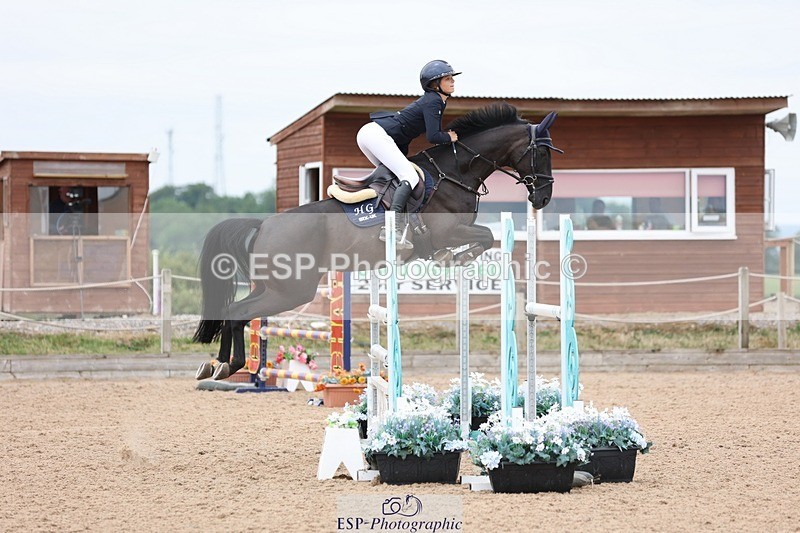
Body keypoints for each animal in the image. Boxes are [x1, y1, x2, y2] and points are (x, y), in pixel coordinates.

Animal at [193, 102, 561, 380]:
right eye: (542, 154)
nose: (543, 198)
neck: (455, 171)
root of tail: (263, 227)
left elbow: (487, 236)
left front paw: (453, 258)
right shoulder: (447, 231)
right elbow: (486, 235)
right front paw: (452, 257)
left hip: (274, 287)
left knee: (231, 310)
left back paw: (216, 364)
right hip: (292, 291)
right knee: (239, 313)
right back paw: (230, 365)